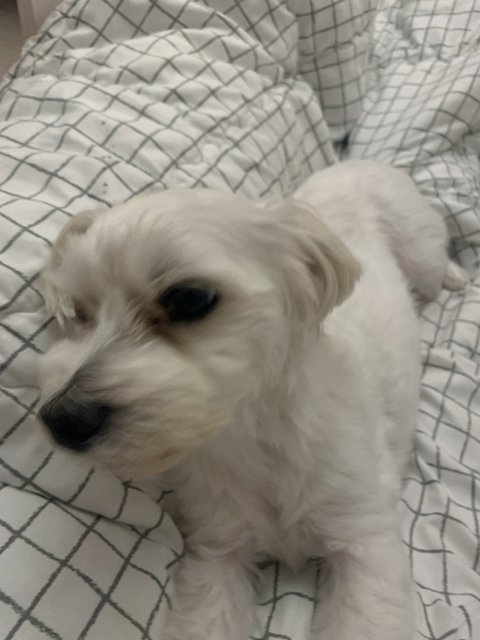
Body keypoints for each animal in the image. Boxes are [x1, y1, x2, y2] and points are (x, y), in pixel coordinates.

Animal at [38, 161, 467, 640]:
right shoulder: (219, 551)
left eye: (189, 298)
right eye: (79, 312)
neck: (252, 436)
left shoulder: (364, 542)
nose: (63, 418)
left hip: (420, 251)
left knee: (436, 265)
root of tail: (359, 163)